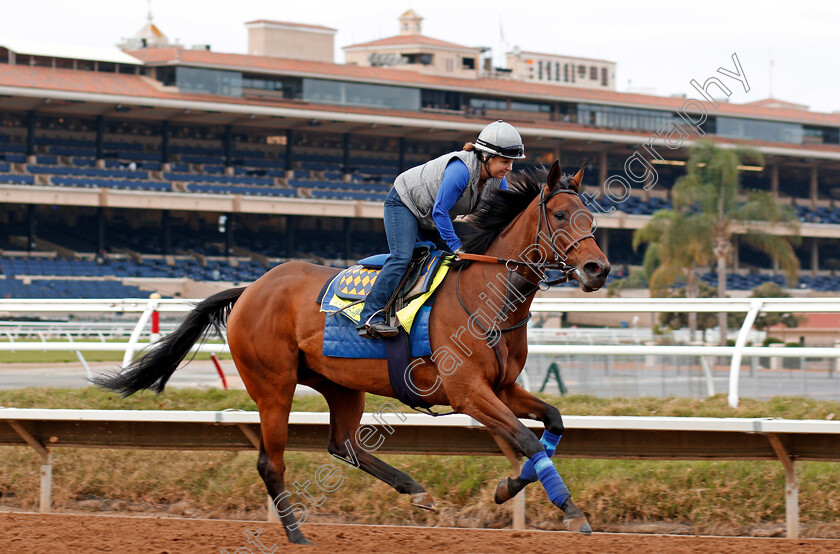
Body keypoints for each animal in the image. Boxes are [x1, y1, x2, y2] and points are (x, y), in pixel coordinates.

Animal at [95, 158, 612, 540]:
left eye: (591, 217)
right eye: (561, 215)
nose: (598, 269)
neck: (487, 295)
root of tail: (250, 289)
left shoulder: (502, 388)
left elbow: (551, 423)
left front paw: (510, 488)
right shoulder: (468, 392)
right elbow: (526, 439)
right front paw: (570, 511)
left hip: (341, 385)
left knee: (342, 444)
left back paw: (416, 490)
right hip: (274, 385)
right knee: (271, 461)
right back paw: (297, 535)